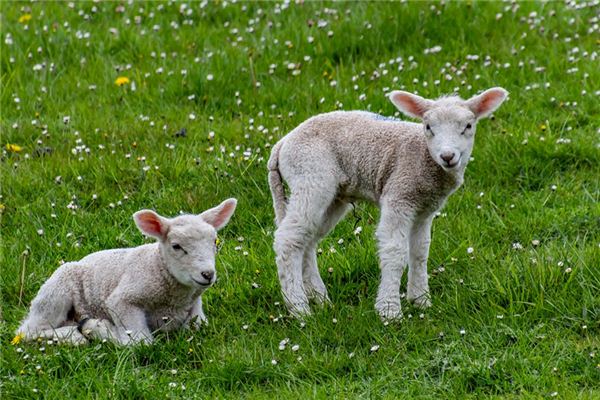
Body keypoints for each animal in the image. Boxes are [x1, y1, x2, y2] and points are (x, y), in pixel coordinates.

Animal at [16, 198, 237, 346]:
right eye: (176, 246)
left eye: (215, 241)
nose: (207, 274)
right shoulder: (122, 300)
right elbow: (140, 342)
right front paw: (99, 328)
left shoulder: (195, 312)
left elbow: (198, 327)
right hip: (57, 290)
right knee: (29, 330)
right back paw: (77, 335)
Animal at [268, 86, 506, 318]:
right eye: (428, 127)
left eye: (468, 126)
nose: (447, 156)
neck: (423, 157)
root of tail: (282, 143)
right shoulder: (399, 196)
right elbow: (395, 252)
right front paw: (389, 310)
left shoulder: (424, 209)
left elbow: (420, 252)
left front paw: (420, 301)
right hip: (310, 176)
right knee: (289, 240)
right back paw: (299, 309)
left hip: (333, 195)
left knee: (307, 240)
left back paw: (321, 299)